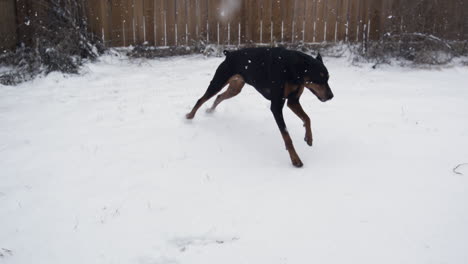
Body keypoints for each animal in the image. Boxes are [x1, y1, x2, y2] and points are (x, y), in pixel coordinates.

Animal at [185, 47, 334, 167]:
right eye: (319, 78)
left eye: (328, 78)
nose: (331, 96)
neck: (294, 68)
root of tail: (229, 54)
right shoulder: (276, 106)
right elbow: (286, 136)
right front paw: (295, 159)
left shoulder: (293, 101)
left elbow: (307, 118)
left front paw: (309, 138)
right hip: (219, 81)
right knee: (202, 99)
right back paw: (189, 116)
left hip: (236, 87)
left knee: (219, 97)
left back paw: (210, 111)